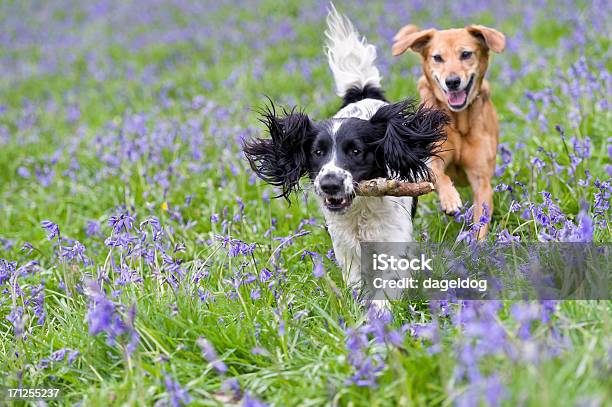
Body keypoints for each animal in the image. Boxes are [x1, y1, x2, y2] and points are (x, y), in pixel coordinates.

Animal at [245, 7, 450, 296]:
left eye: (355, 151)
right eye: (317, 152)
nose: (330, 184)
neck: (360, 210)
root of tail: (362, 92)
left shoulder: (393, 239)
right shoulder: (345, 246)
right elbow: (354, 281)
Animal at [392, 23, 506, 237]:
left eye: (466, 54)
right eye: (437, 57)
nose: (452, 81)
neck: (458, 120)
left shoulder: (481, 180)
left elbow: (481, 219)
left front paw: (478, 244)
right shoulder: (433, 159)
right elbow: (439, 175)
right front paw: (450, 199)